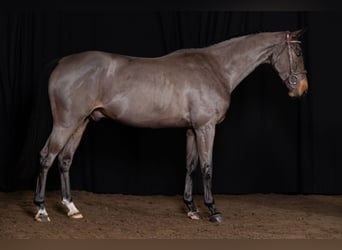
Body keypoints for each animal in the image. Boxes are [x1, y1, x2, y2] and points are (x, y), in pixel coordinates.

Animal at [33, 29, 308, 223]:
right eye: (297, 53)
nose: (302, 89)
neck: (216, 68)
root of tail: (62, 62)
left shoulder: (192, 129)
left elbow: (191, 166)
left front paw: (192, 209)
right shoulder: (206, 127)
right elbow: (207, 167)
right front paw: (213, 210)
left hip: (80, 123)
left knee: (65, 160)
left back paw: (71, 208)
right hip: (66, 123)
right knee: (47, 157)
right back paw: (41, 210)